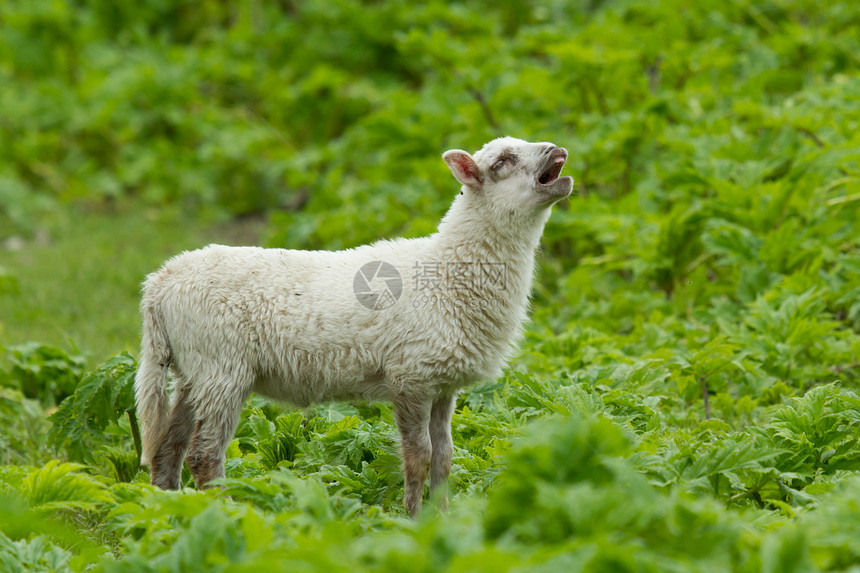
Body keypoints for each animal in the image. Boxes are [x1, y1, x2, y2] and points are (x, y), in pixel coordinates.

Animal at [134, 136, 576, 516]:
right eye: (502, 162)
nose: (557, 151)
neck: (449, 271)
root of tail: (159, 283)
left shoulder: (442, 384)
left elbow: (445, 458)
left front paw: (443, 519)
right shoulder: (410, 377)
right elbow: (419, 457)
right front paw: (413, 520)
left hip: (193, 371)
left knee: (168, 448)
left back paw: (164, 513)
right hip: (221, 368)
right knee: (204, 455)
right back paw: (224, 512)